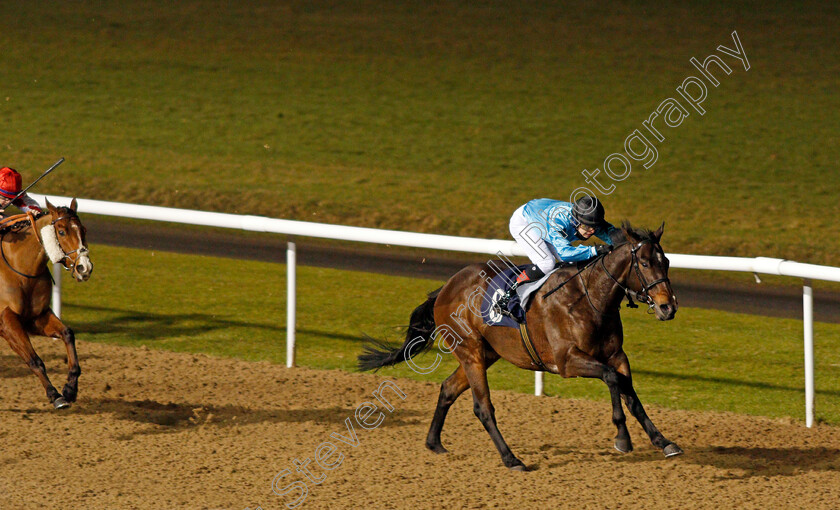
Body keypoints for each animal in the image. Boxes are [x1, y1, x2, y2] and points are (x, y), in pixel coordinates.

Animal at [0, 197, 92, 408]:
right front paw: (55, 394)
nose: (85, 268)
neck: (20, 267)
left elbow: (67, 333)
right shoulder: (6, 320)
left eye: (83, 230)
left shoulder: (36, 316)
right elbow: (34, 360)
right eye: (62, 231)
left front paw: (70, 388)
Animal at [360, 221, 684, 468]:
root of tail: (445, 288)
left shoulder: (617, 355)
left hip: (486, 353)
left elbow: (630, 395)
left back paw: (434, 443)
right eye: (645, 263)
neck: (589, 299)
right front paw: (622, 438)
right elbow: (611, 379)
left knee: (449, 388)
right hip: (470, 351)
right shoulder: (567, 361)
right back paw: (511, 458)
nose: (668, 307)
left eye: (666, 262)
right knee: (483, 407)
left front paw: (663, 441)